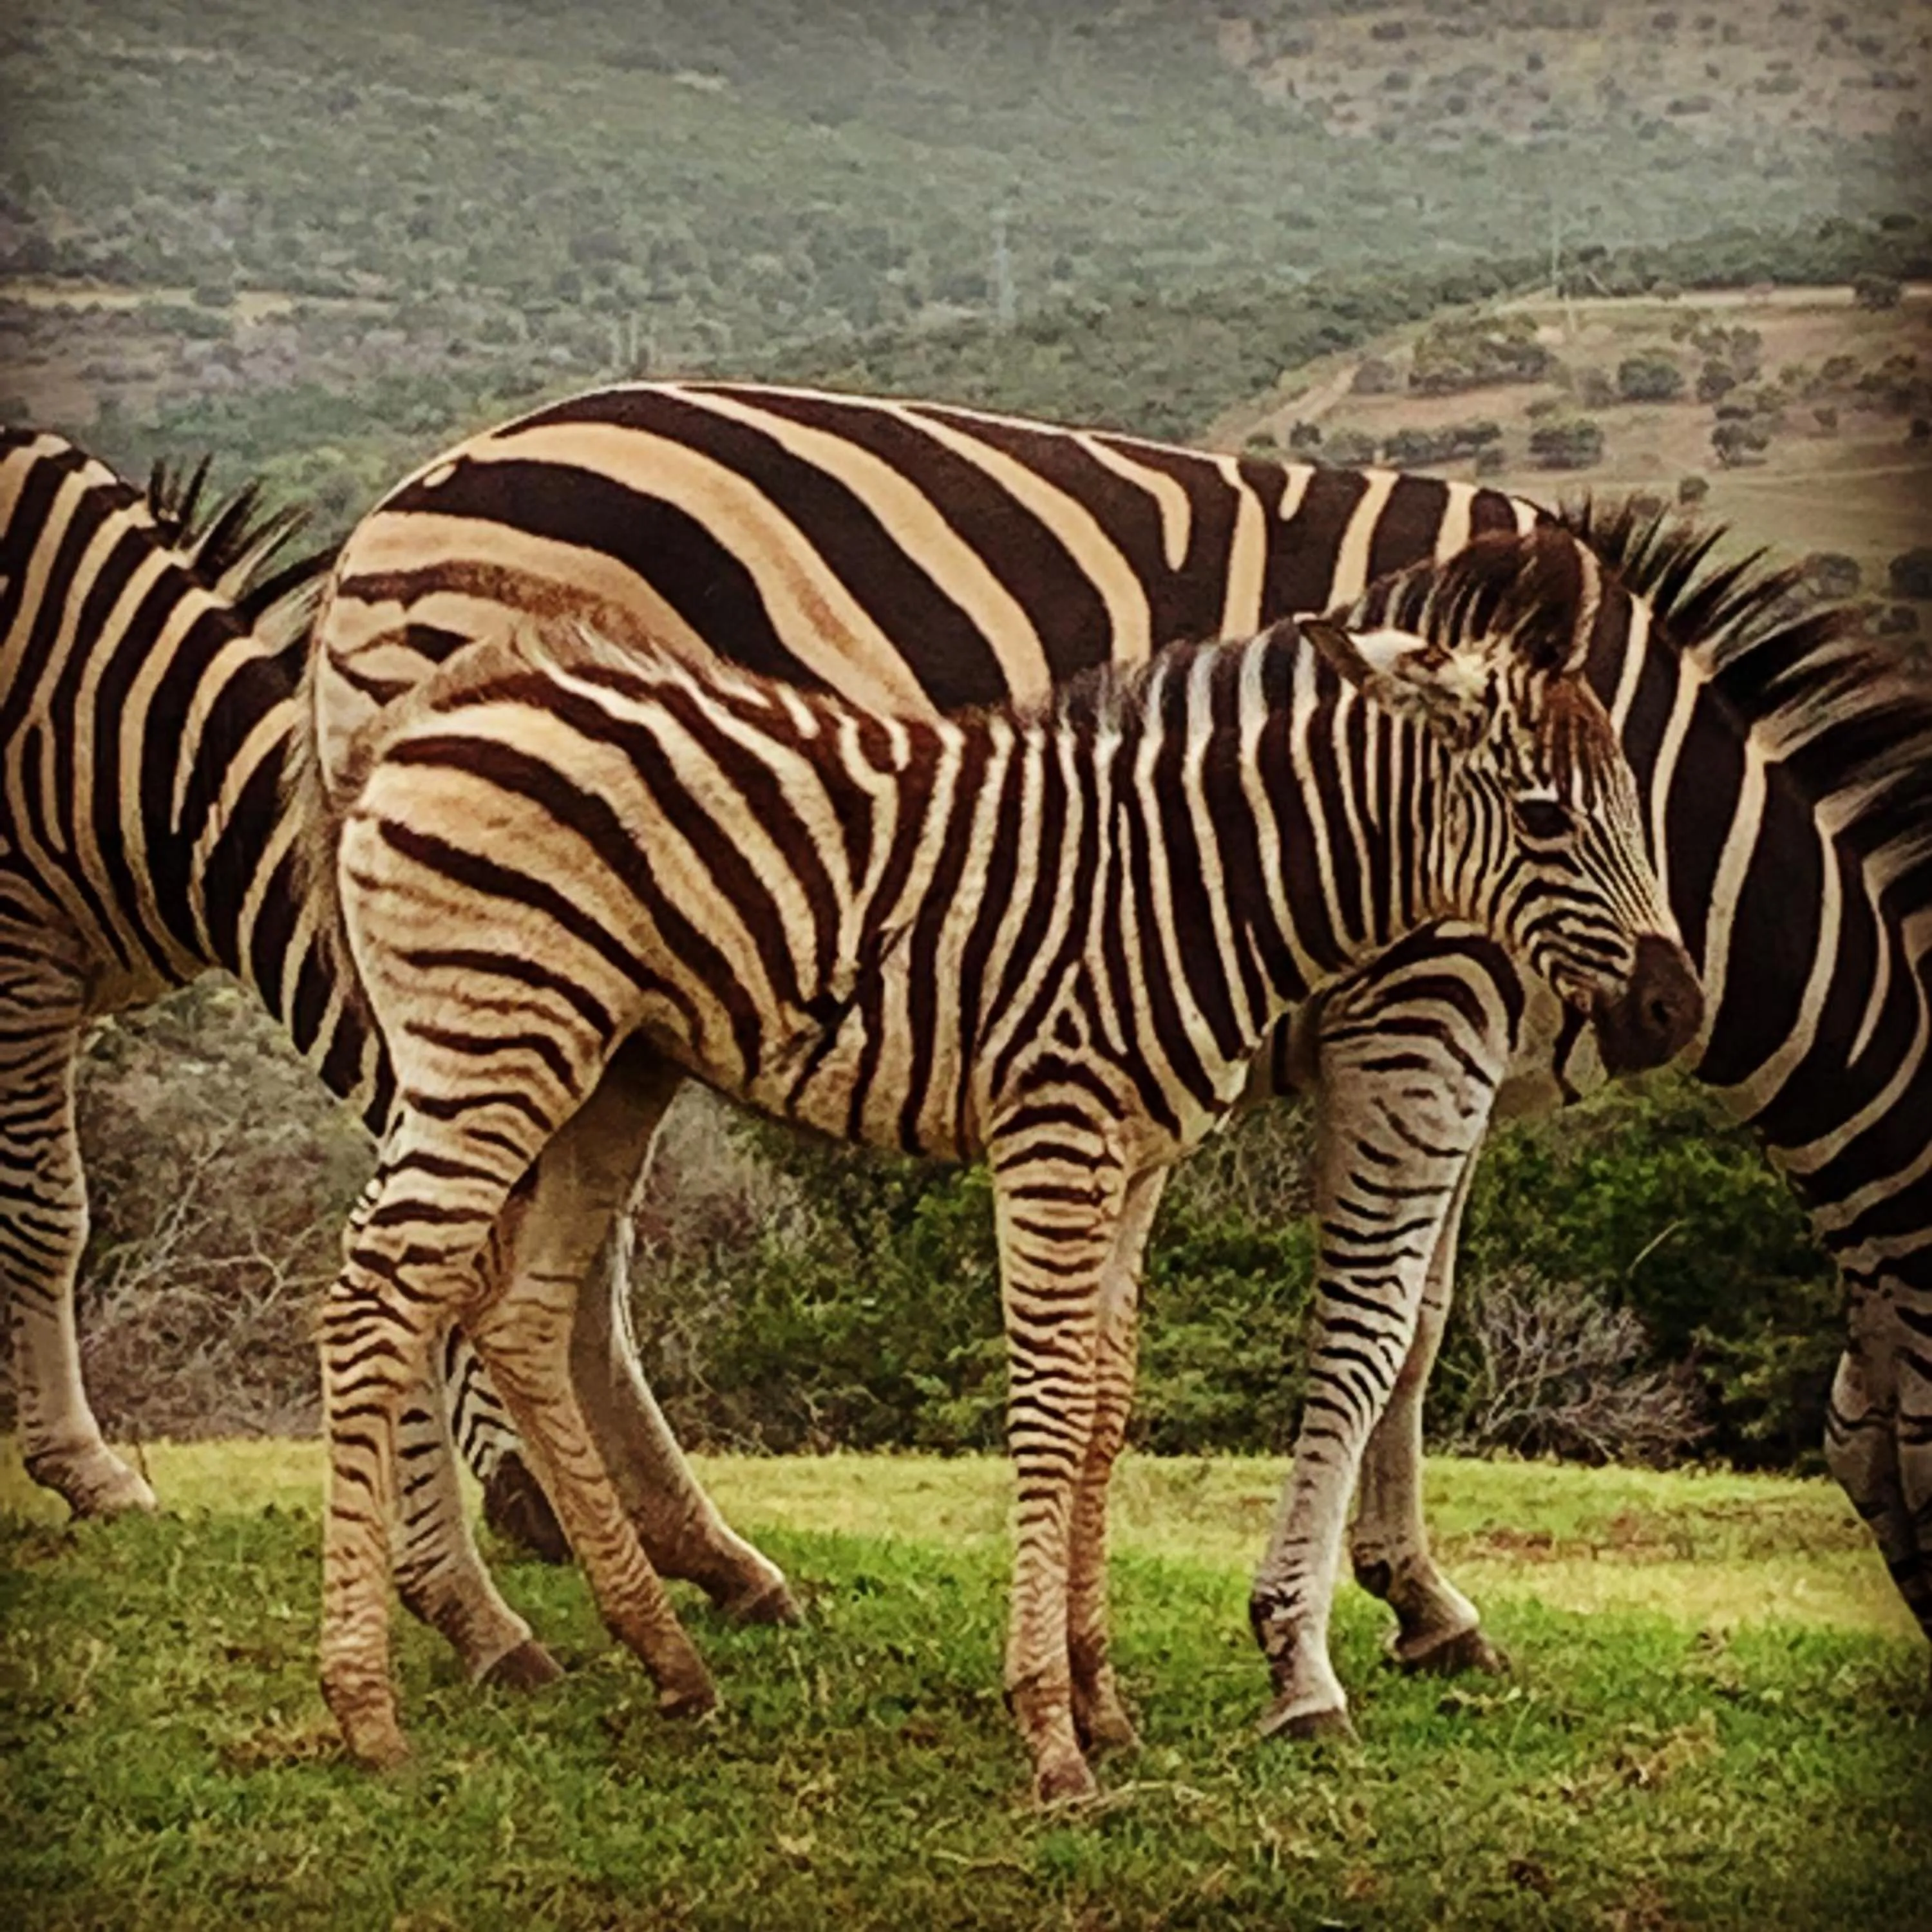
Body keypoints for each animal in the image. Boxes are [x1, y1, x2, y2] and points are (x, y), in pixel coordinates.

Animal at [314, 379, 1931, 1708]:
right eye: (1543, 815)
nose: (1666, 1010)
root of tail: (389, 513)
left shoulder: (1476, 1045)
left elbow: (1421, 1322)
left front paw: (1420, 1600)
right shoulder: (1420, 1005)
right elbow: (1363, 1322)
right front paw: (1303, 1639)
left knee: (544, 1281)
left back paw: (697, 1573)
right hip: (516, 970)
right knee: (437, 1269)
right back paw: (473, 1611)